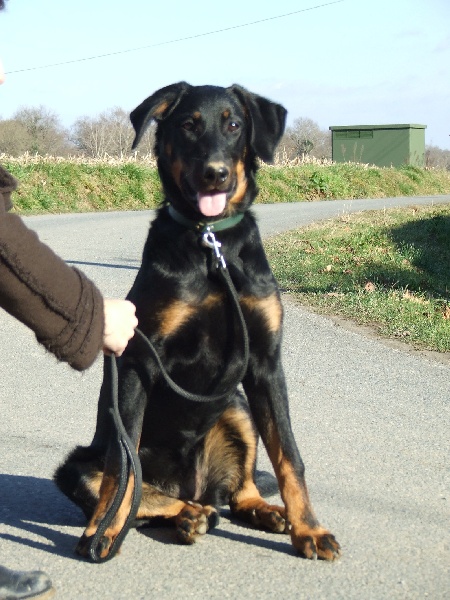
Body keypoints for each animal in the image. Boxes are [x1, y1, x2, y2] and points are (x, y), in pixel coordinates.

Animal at [54, 82, 340, 560]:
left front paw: (310, 530)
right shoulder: (138, 360)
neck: (211, 244)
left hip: (237, 408)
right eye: (188, 125)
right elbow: (120, 467)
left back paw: (262, 511)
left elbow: (289, 456)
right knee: (147, 492)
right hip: (76, 466)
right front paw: (103, 532)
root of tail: (192, 487)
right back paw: (186, 516)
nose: (216, 174)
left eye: (234, 124)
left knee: (239, 492)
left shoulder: (265, 362)